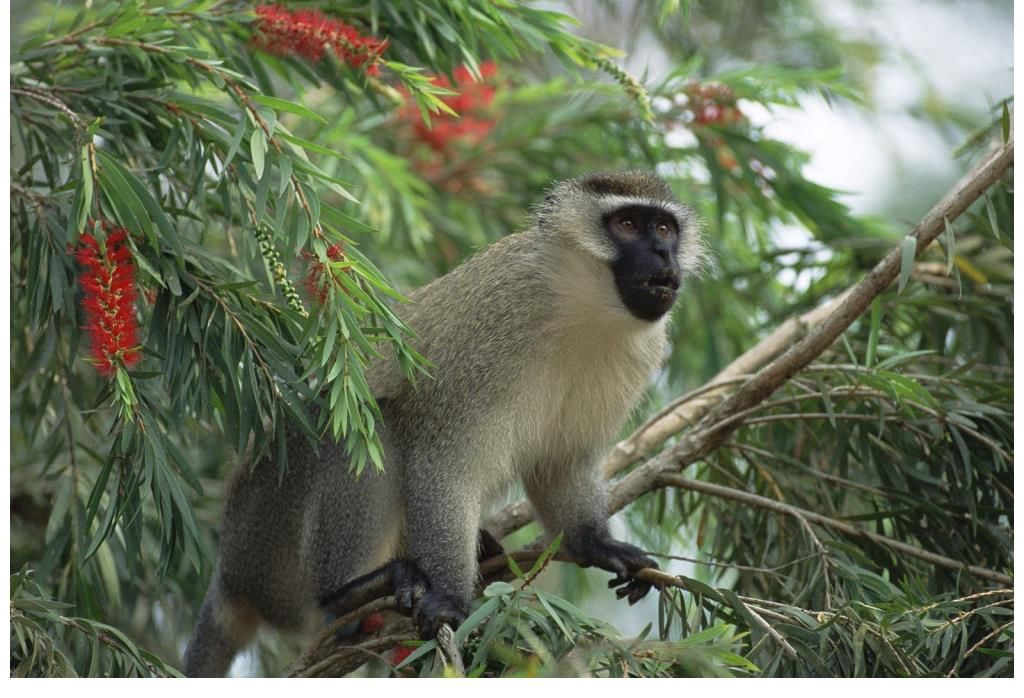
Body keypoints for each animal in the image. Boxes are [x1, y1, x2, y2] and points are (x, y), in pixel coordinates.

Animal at [184, 169, 700, 675]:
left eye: (663, 228)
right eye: (627, 225)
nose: (662, 253)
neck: (582, 308)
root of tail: (231, 573)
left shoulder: (641, 352)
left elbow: (561, 464)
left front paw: (595, 543)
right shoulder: (495, 325)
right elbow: (445, 465)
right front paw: (451, 596)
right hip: (271, 545)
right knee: (368, 427)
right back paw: (347, 595)